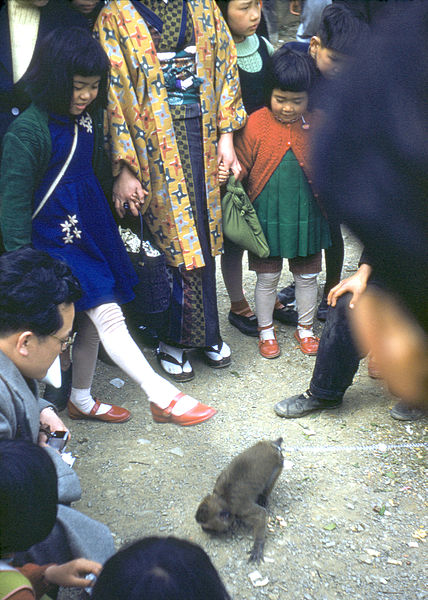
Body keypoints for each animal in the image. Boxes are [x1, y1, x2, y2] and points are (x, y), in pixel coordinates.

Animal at [195, 436, 282, 564]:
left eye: (207, 527)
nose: (203, 530)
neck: (224, 499)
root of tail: (271, 445)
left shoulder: (240, 509)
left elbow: (261, 514)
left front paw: (257, 546)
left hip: (278, 465)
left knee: (269, 484)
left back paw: (263, 497)